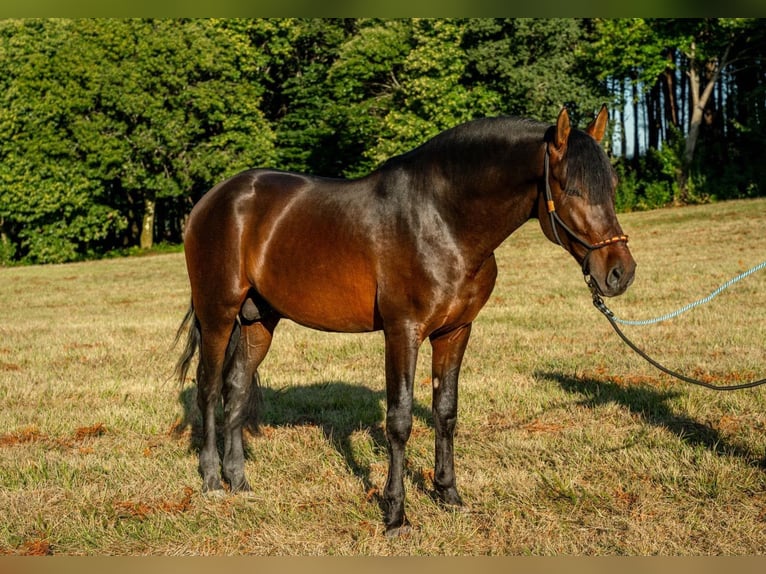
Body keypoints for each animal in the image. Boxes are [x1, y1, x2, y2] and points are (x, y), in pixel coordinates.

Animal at [175, 105, 636, 536]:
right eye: (572, 188)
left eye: (612, 186)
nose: (620, 273)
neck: (441, 219)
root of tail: (210, 201)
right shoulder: (403, 332)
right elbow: (399, 421)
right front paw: (396, 515)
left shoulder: (455, 332)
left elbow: (445, 412)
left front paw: (448, 495)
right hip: (218, 315)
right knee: (209, 388)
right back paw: (212, 481)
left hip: (259, 321)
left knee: (236, 390)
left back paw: (240, 482)